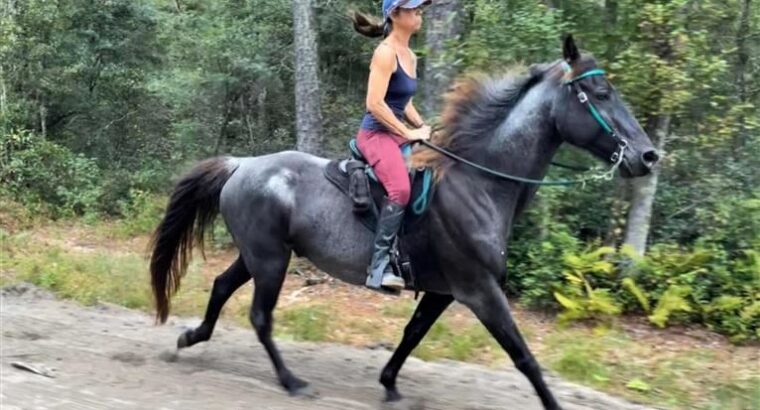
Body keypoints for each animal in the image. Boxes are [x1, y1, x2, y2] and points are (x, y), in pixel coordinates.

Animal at [150, 36, 660, 408]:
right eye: (601, 94)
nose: (648, 156)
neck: (480, 183)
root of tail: (242, 165)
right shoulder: (479, 290)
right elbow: (524, 356)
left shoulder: (443, 291)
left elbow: (412, 335)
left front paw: (390, 383)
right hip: (271, 261)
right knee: (260, 316)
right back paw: (290, 380)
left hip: (260, 254)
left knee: (221, 286)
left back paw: (191, 337)